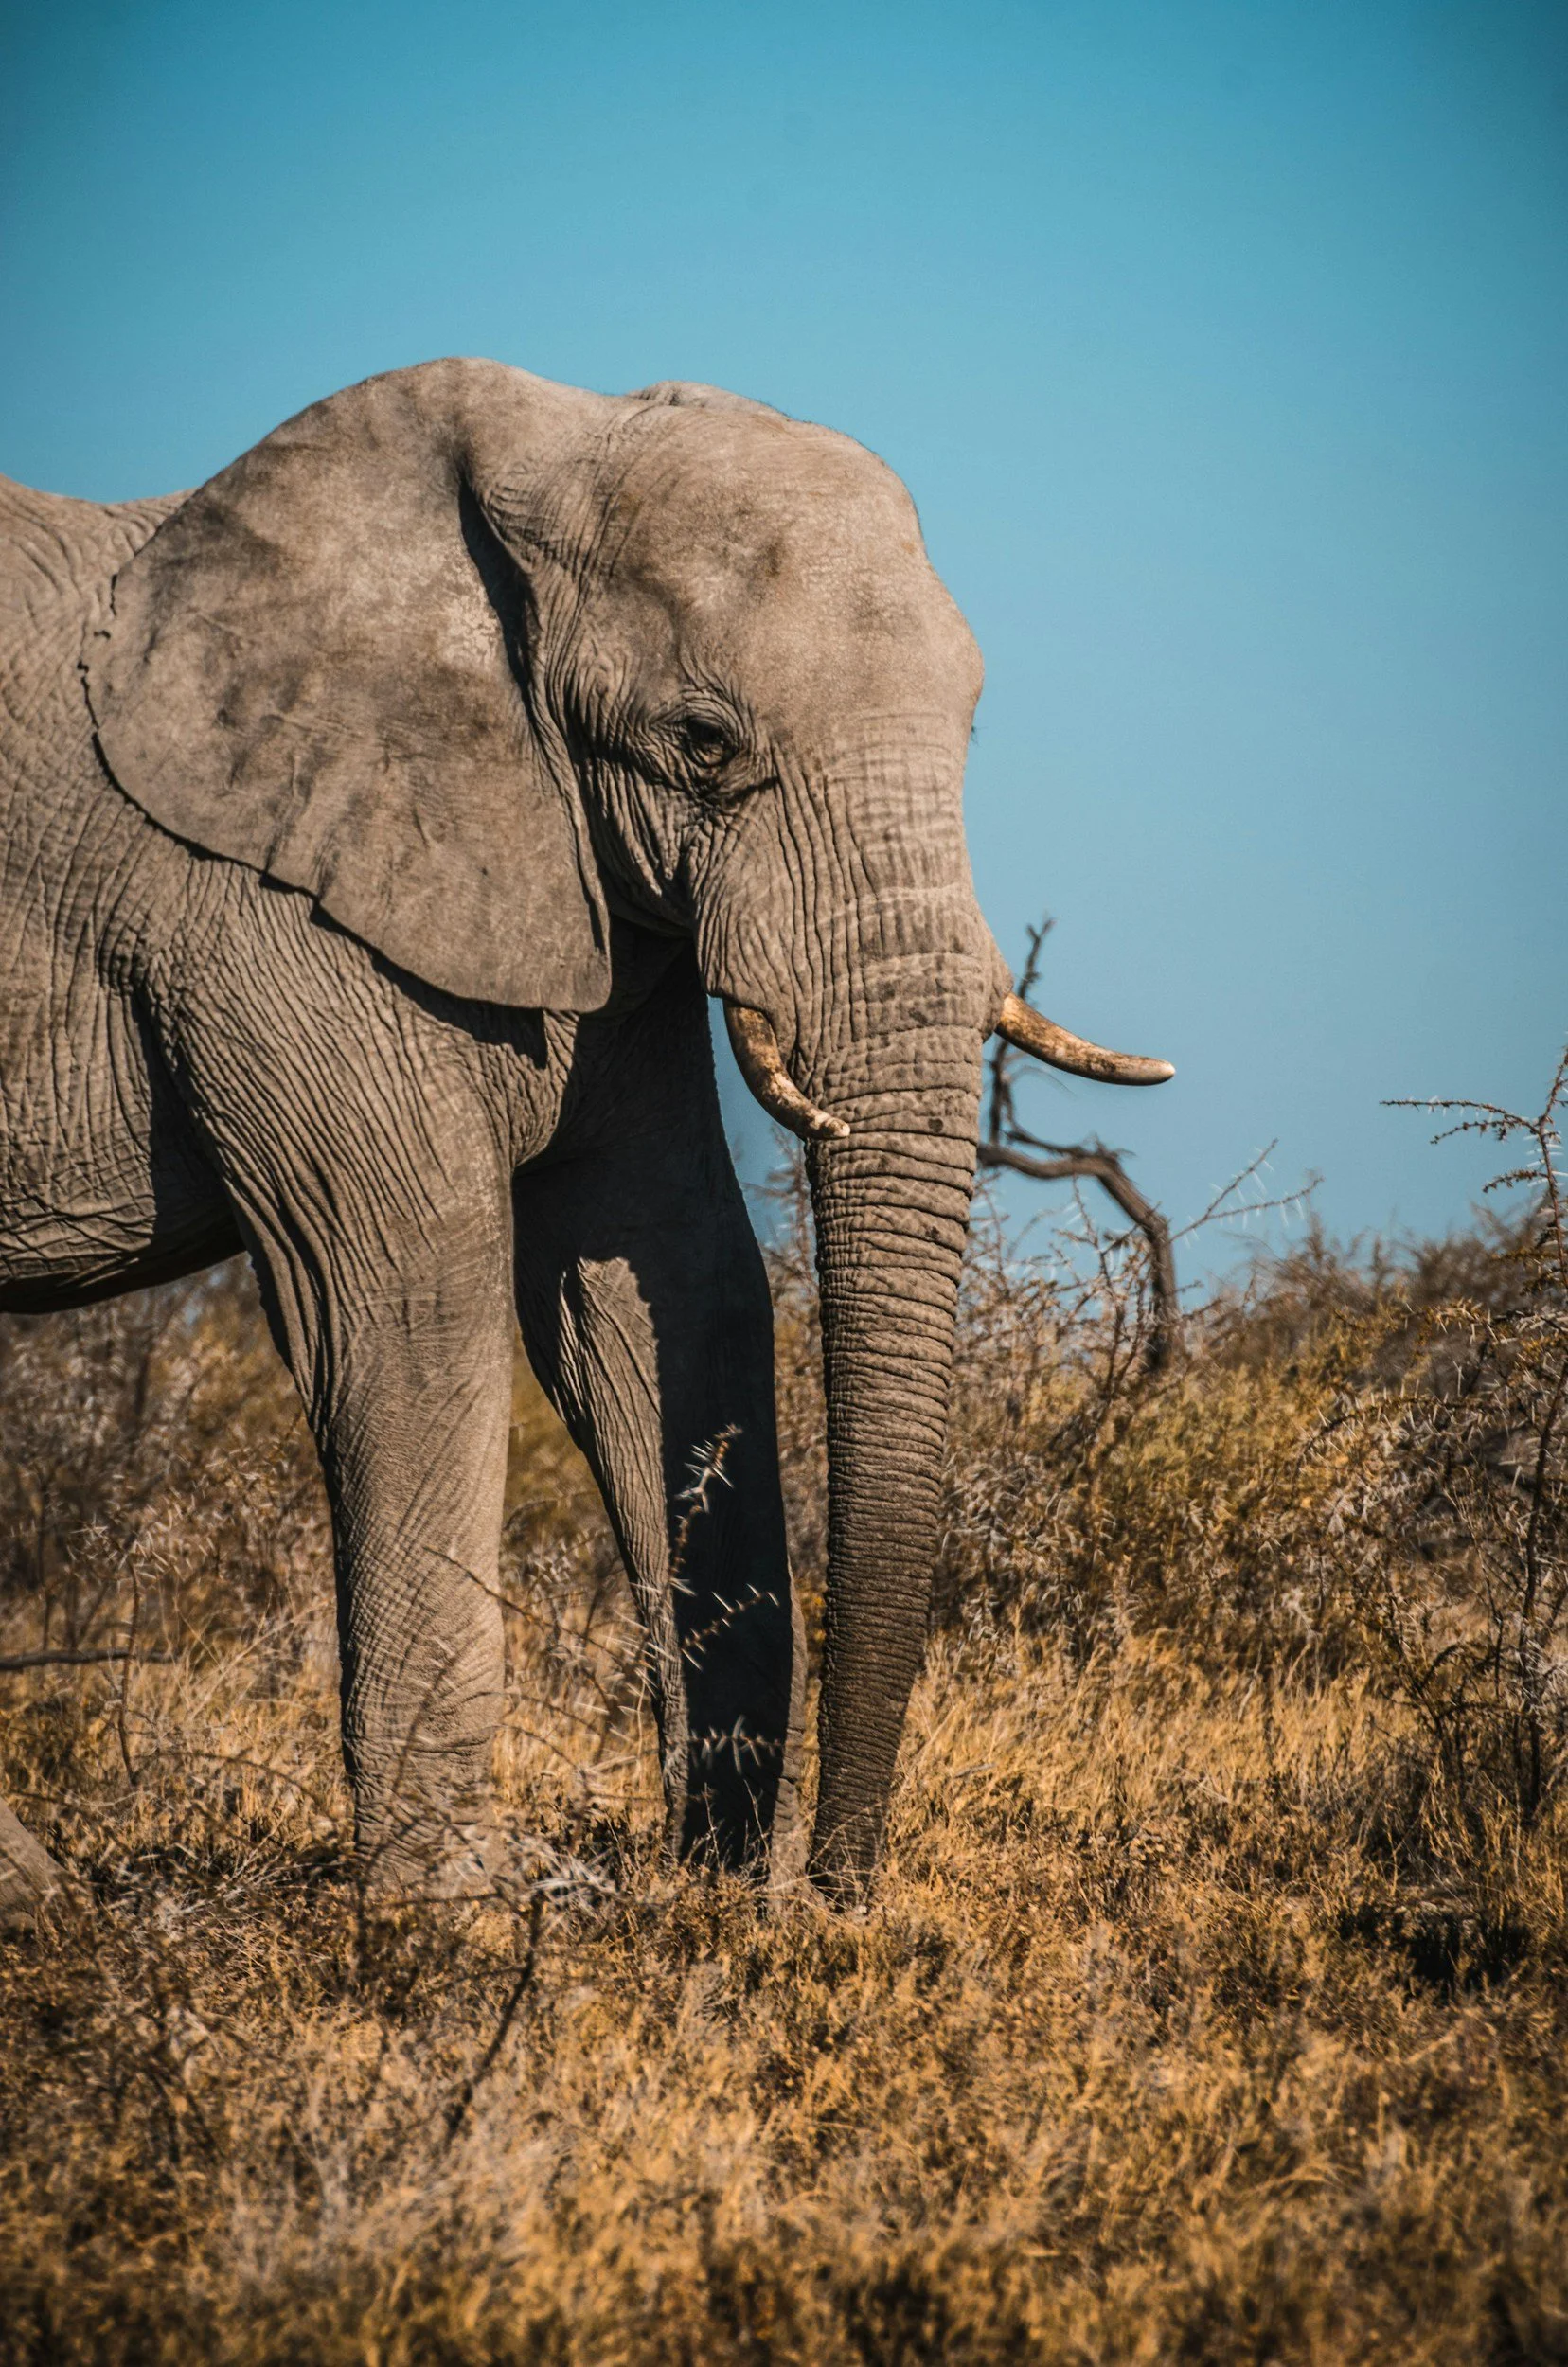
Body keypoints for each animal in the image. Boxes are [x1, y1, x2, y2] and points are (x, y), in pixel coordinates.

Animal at [0, 360, 1170, 1921]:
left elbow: (664, 1277)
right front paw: (449, 1922)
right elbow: (405, 1300)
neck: (542, 453)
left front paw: (711, 1894)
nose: (836, 1898)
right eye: (703, 745)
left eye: (972, 726)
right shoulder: (263, 908)